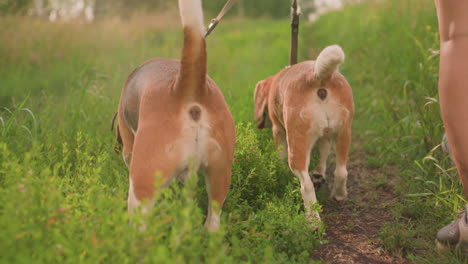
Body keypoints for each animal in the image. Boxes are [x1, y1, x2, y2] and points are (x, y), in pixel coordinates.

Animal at [254, 44, 352, 221]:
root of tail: (317, 76)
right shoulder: (325, 136)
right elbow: (323, 154)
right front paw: (319, 174)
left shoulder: (278, 131)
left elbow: (279, 155)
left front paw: (279, 170)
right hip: (343, 133)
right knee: (341, 172)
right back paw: (339, 195)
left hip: (296, 145)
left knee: (306, 186)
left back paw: (313, 222)